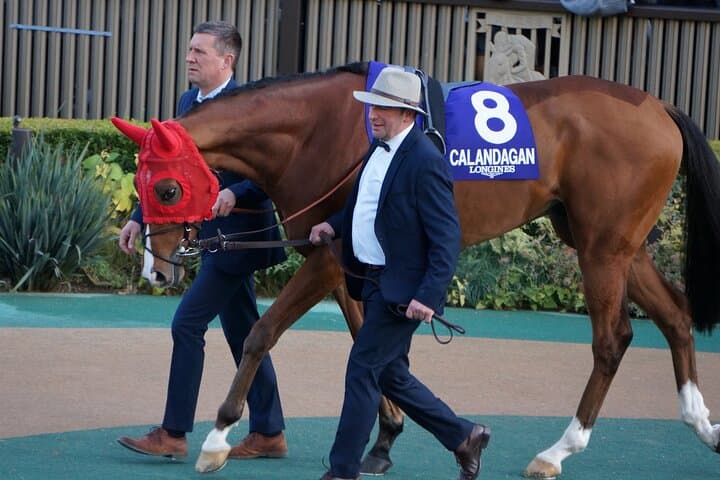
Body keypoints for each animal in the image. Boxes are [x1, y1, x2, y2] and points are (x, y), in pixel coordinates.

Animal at [112, 62, 720, 478]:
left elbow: (263, 333)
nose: (158, 270)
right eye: (139, 183)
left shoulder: (328, 258)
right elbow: (374, 348)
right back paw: (703, 423)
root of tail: (658, 107)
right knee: (675, 315)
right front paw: (386, 441)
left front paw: (217, 437)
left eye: (167, 189)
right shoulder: (350, 258)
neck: (317, 130)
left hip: (602, 248)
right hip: (616, 243)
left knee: (613, 339)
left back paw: (557, 451)